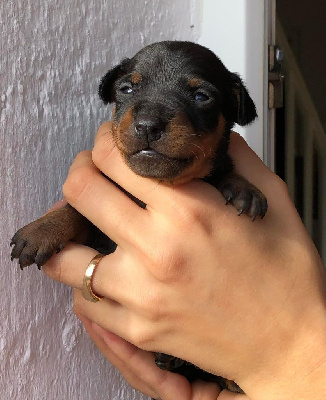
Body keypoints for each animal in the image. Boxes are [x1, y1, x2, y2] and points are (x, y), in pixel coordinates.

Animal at [12, 41, 268, 394]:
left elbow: (223, 171)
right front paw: (41, 230)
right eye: (127, 89)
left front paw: (243, 188)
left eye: (201, 96)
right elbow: (77, 212)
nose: (147, 125)